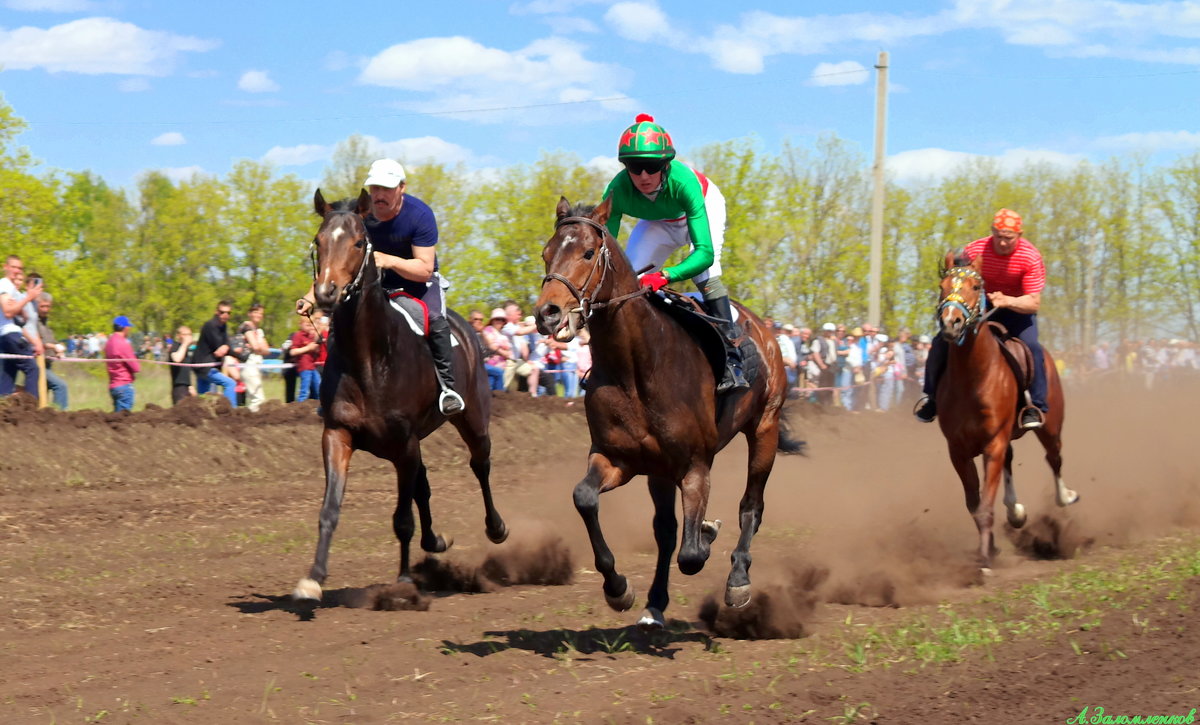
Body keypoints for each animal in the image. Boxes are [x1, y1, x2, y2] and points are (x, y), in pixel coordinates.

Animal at [296, 189, 511, 602]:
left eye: (358, 242)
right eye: (319, 240)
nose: (326, 293)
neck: (370, 359)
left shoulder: (405, 442)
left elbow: (402, 519)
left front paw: (405, 582)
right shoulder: (338, 435)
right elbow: (330, 509)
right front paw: (313, 577)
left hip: (472, 420)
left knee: (481, 464)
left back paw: (496, 527)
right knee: (423, 485)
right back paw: (435, 542)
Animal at [532, 196, 796, 628]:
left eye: (587, 253)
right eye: (546, 252)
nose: (547, 313)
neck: (636, 368)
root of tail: (764, 330)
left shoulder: (695, 464)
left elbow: (692, 554)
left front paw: (707, 533)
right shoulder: (618, 458)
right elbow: (585, 498)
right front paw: (619, 588)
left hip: (765, 428)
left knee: (751, 507)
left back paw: (738, 578)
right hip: (658, 470)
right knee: (667, 530)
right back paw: (655, 602)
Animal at [936, 252, 1080, 573]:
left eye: (976, 286)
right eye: (942, 286)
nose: (951, 323)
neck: (972, 377)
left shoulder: (993, 443)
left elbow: (985, 506)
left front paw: (985, 561)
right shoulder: (957, 450)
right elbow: (974, 504)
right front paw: (989, 547)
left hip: (1050, 425)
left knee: (1054, 457)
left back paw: (1064, 496)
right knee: (1012, 461)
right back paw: (1015, 511)